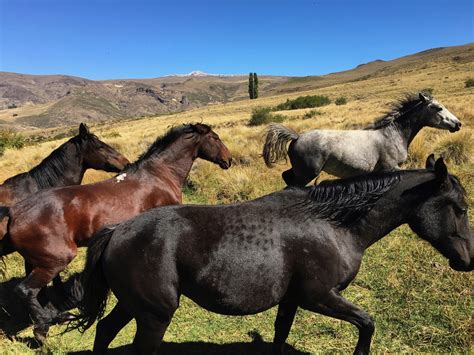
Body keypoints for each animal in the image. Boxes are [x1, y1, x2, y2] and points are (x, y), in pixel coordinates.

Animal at [0, 123, 231, 344]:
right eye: (215, 137)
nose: (228, 160)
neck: (158, 175)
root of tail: (15, 211)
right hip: (55, 260)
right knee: (26, 290)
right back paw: (46, 327)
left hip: (38, 261)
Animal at [72, 154, 472, 354]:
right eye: (460, 207)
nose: (467, 261)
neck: (332, 223)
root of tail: (116, 231)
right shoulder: (319, 296)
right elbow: (367, 323)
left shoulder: (292, 299)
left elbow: (280, 334)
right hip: (154, 316)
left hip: (134, 307)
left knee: (104, 331)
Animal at [262, 92, 460, 188]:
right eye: (439, 108)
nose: (458, 124)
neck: (392, 134)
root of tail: (297, 137)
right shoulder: (391, 168)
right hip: (307, 173)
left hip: (301, 171)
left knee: (286, 176)